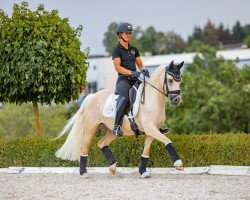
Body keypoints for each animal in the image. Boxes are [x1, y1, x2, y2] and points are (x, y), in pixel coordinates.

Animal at [55, 60, 185, 178]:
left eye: (180, 80)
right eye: (170, 80)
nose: (176, 100)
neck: (152, 99)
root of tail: (92, 96)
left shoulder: (152, 131)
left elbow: (146, 151)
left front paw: (143, 171)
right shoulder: (150, 128)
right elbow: (167, 140)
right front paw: (178, 164)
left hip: (111, 130)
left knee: (102, 143)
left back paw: (112, 168)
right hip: (91, 127)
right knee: (84, 147)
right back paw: (84, 173)